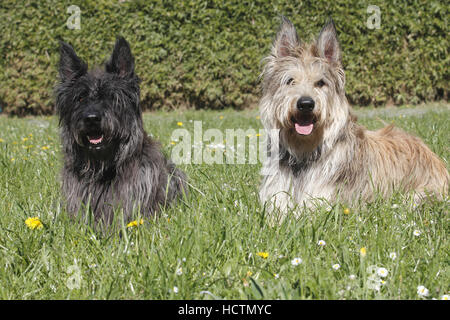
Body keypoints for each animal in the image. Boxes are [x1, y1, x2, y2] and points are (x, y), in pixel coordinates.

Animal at [258, 16, 448, 219]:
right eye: (290, 81)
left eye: (320, 83)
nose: (306, 104)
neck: (304, 152)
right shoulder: (275, 199)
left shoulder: (323, 202)